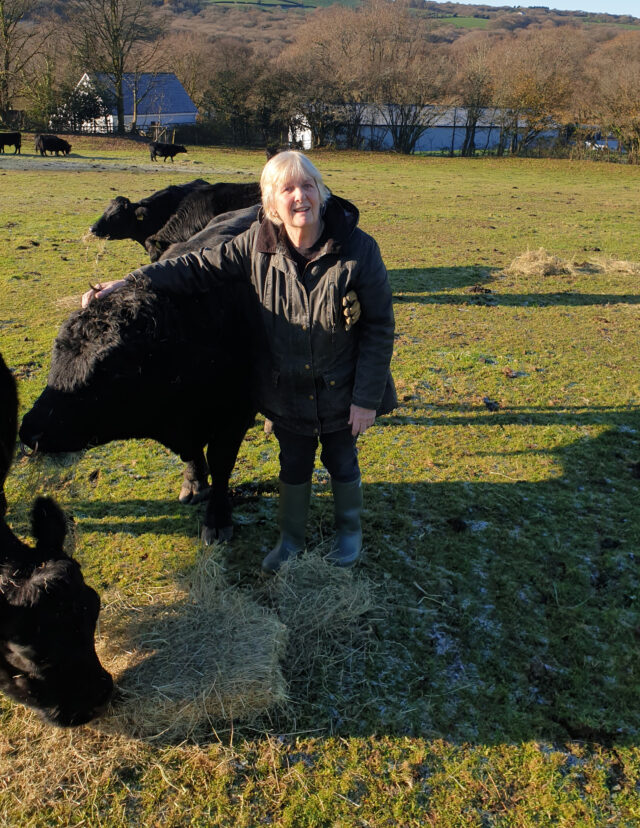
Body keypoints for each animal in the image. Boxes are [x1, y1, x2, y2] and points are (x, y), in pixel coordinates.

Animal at [19, 278, 260, 545]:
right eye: (57, 349)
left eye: (111, 370)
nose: (30, 430)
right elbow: (193, 455)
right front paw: (194, 484)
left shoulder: (236, 415)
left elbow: (221, 464)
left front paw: (217, 521)